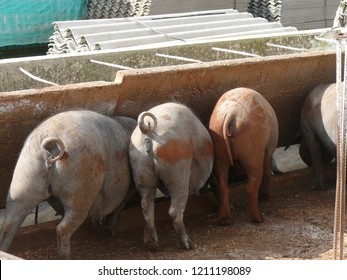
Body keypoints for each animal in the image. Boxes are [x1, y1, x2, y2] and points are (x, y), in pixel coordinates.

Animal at [0, 110, 137, 260]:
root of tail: (50, 142)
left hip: (24, 177)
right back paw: (67, 257)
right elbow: (119, 206)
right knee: (63, 228)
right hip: (82, 185)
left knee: (9, 222)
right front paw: (109, 232)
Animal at [129, 102, 213, 249]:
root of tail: (147, 129)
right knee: (174, 210)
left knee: (146, 204)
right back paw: (189, 245)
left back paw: (152, 245)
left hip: (140, 167)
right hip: (177, 168)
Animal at [209, 88, 280, 224]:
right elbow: (267, 170)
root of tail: (231, 113)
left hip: (219, 146)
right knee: (251, 187)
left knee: (223, 186)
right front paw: (266, 197)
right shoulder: (268, 151)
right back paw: (258, 219)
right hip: (252, 150)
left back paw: (225, 220)